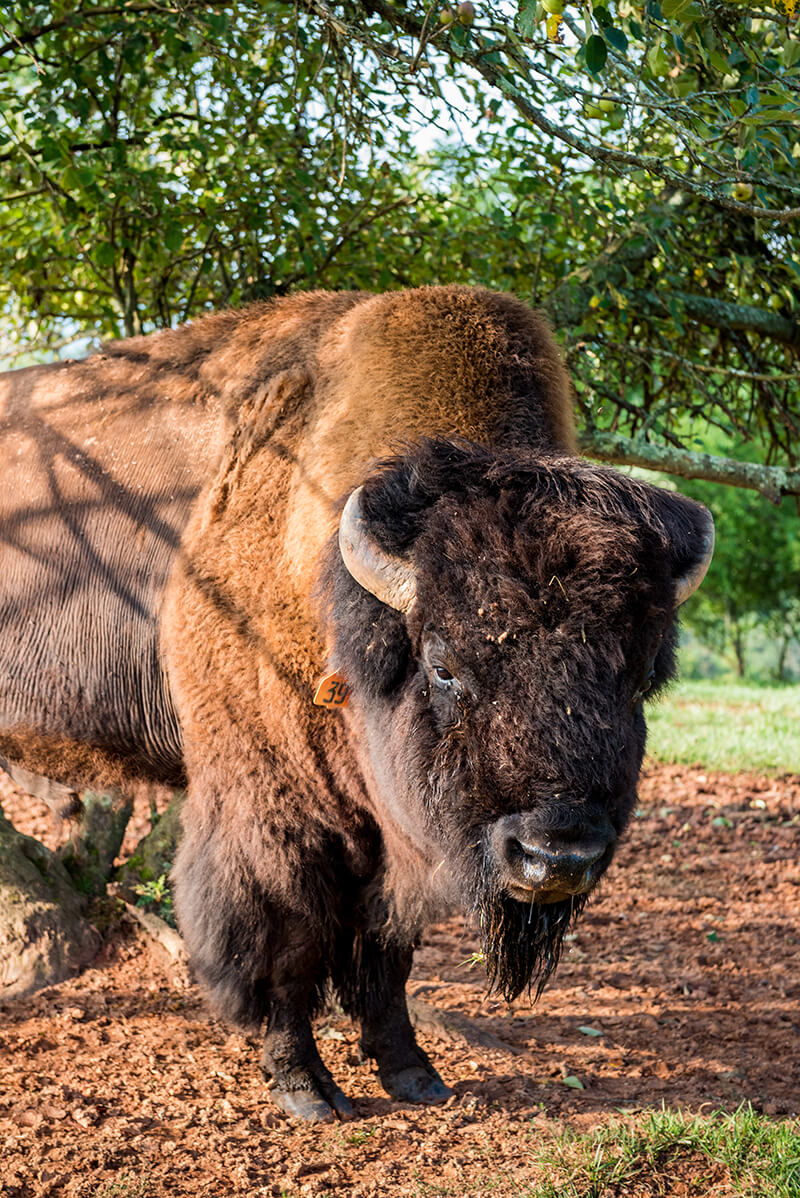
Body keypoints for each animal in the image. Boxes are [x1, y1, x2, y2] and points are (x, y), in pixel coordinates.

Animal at [0, 286, 713, 1121]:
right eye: (443, 665)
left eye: (641, 674)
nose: (556, 854)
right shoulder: (276, 811)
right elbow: (288, 944)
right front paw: (306, 1088)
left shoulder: (394, 835)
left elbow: (386, 951)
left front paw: (413, 1073)